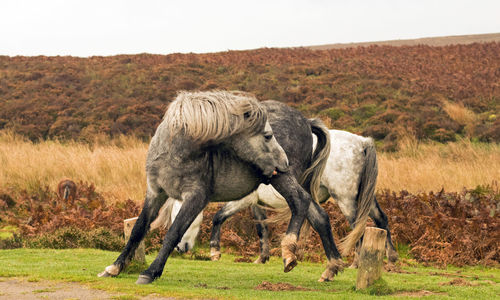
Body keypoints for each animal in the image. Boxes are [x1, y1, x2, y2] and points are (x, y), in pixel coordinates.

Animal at [99, 91, 344, 284]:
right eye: (267, 135)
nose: (283, 162)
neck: (175, 151)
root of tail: (306, 121)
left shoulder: (196, 197)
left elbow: (173, 232)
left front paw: (150, 272)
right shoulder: (155, 193)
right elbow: (138, 230)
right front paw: (114, 267)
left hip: (280, 179)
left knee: (300, 202)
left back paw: (289, 252)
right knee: (319, 216)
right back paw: (331, 268)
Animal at [155, 130, 398, 266]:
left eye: (180, 217)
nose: (180, 248)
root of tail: (362, 142)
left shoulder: (243, 200)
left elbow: (218, 217)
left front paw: (215, 251)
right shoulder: (256, 204)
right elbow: (261, 229)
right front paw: (262, 258)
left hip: (346, 199)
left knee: (358, 227)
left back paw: (356, 263)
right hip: (363, 198)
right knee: (381, 220)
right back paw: (391, 258)